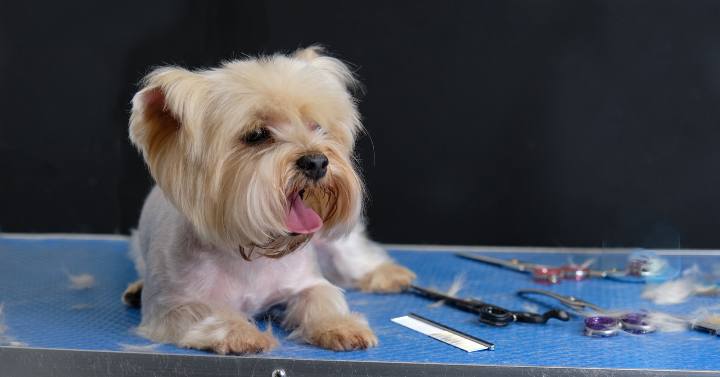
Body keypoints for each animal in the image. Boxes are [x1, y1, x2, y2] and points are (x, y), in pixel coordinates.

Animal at [124, 47, 416, 352]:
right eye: (256, 135)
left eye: (315, 126)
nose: (317, 162)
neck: (252, 249)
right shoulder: (170, 306)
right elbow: (204, 312)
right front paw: (240, 333)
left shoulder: (307, 282)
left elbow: (322, 297)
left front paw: (340, 326)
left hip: (334, 245)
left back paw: (388, 274)